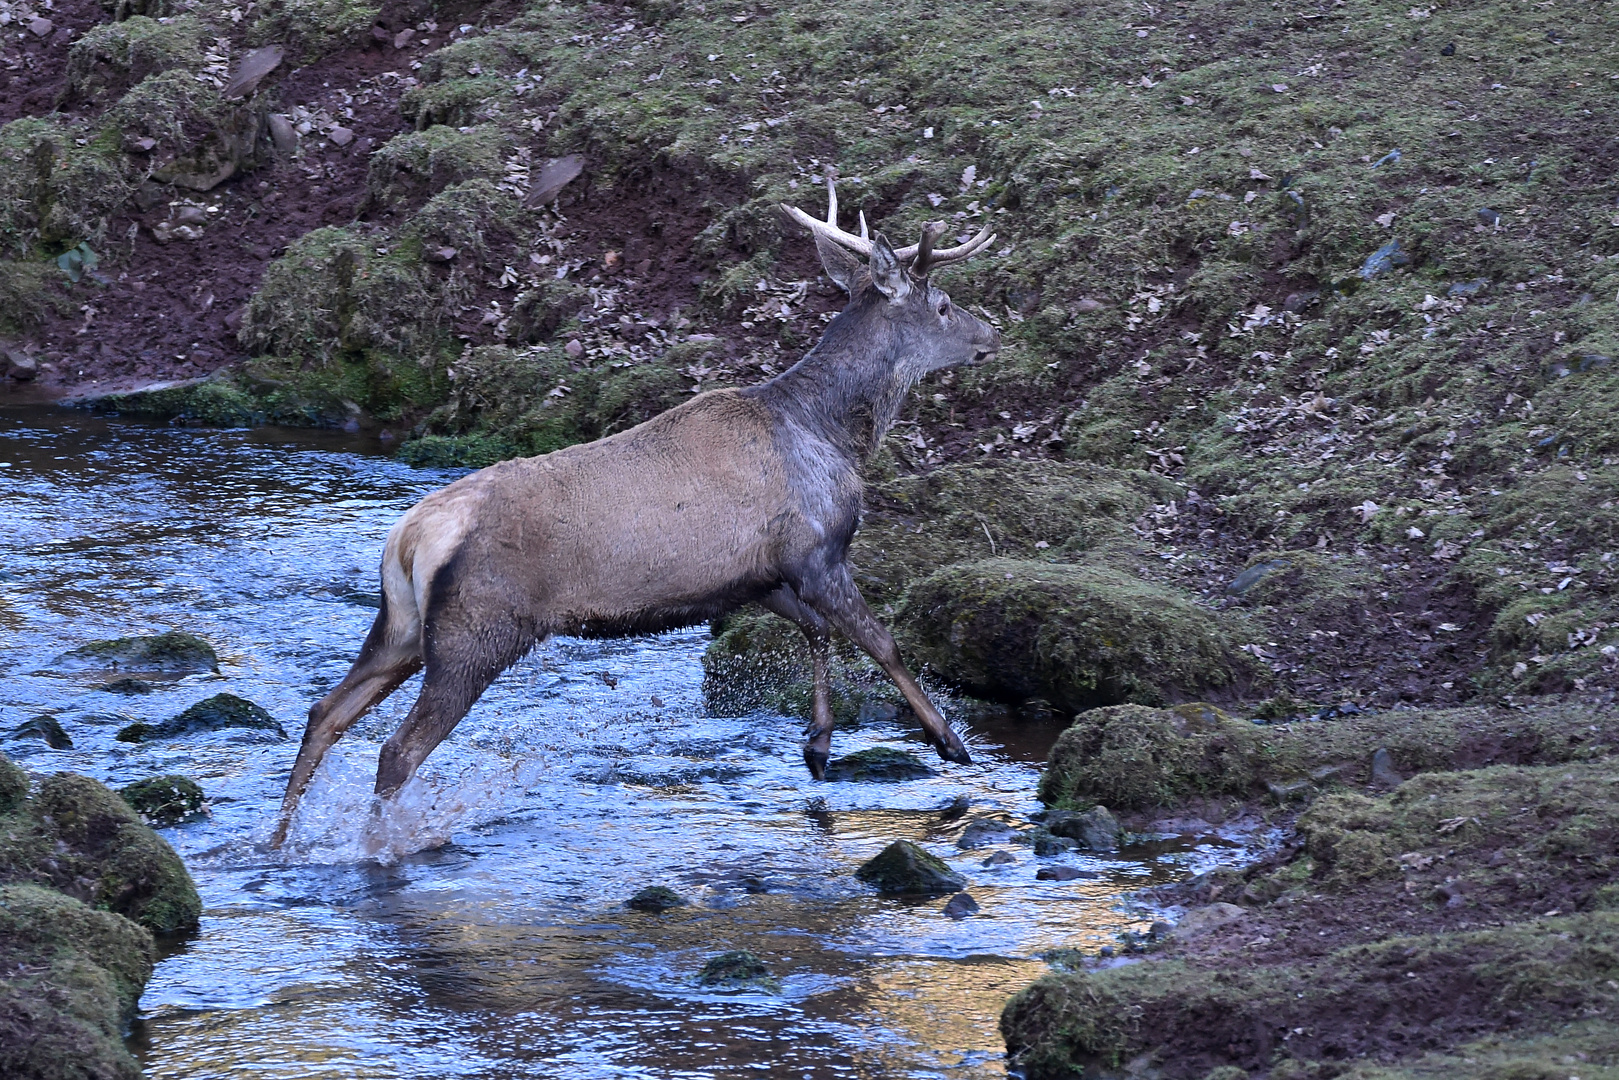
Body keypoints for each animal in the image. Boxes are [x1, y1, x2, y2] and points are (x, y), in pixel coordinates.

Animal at [268, 181, 997, 848]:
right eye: (942, 303)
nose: (989, 332)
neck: (835, 435)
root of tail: (408, 536)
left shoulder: (757, 578)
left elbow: (817, 633)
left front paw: (817, 744)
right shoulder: (816, 551)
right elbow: (881, 642)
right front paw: (948, 741)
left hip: (401, 626)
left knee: (324, 711)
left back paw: (280, 840)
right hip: (476, 630)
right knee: (397, 750)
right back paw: (377, 845)